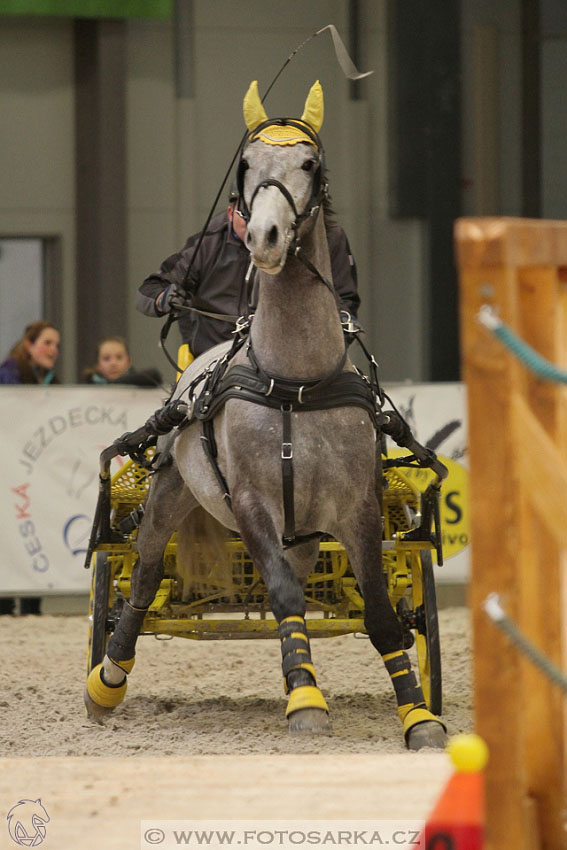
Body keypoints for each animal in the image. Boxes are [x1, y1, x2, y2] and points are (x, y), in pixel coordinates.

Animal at [85, 79, 448, 748]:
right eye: (248, 163)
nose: (265, 236)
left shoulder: (356, 506)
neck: (295, 381)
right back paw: (107, 681)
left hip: (302, 529)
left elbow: (381, 614)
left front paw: (418, 715)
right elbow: (278, 593)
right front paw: (305, 702)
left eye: (309, 165)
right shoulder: (253, 502)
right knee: (143, 579)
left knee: (302, 584)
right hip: (172, 492)